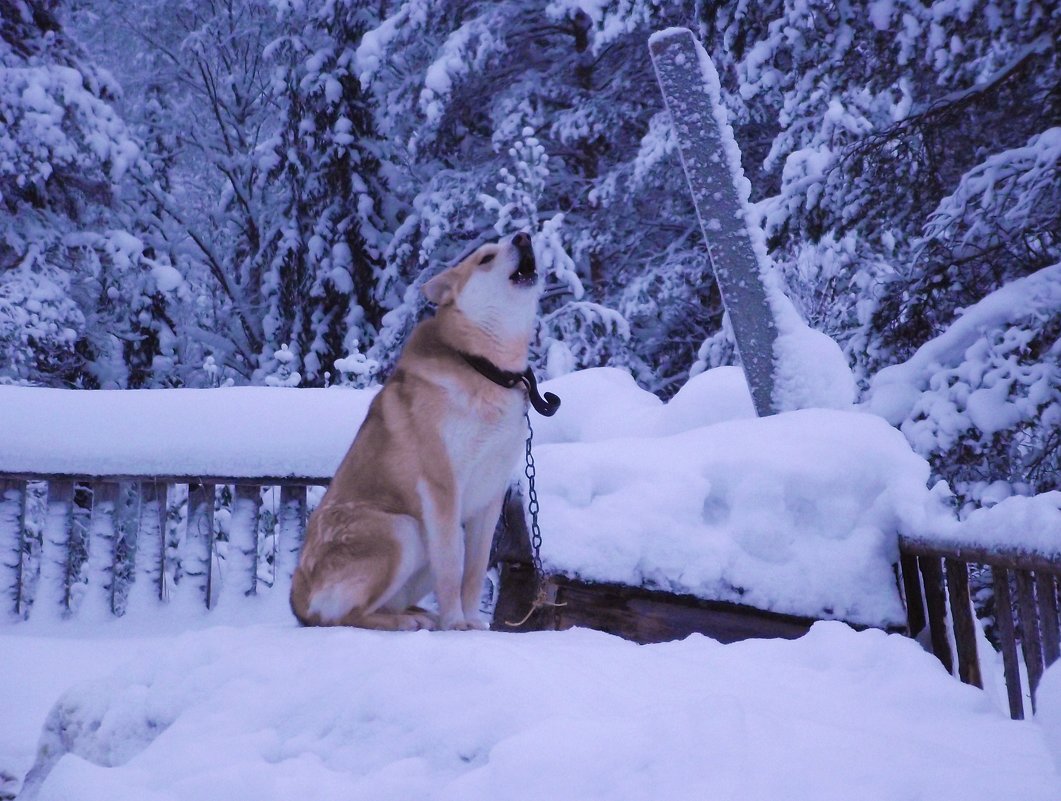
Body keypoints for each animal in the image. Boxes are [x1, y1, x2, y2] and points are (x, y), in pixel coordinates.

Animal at [288, 232, 543, 632]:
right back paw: (405, 622)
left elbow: (473, 573)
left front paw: (472, 621)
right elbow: (452, 569)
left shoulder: (490, 496)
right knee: (345, 617)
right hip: (405, 530)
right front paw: (456, 623)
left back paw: (420, 614)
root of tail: (298, 600)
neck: (486, 368)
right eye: (486, 258)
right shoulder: (442, 488)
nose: (523, 236)